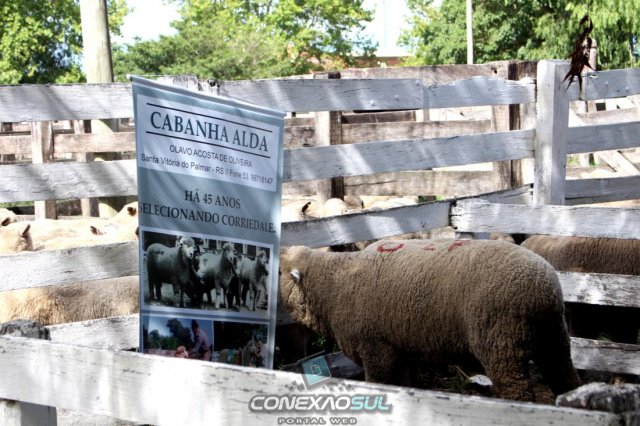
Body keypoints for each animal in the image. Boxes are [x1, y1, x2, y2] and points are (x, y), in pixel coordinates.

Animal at [278, 239, 581, 401]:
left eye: (280, 271)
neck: (335, 284)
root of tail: (544, 287)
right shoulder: (400, 347)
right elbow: (405, 385)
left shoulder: (375, 348)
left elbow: (379, 383)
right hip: (553, 339)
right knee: (567, 380)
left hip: (502, 346)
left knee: (518, 394)